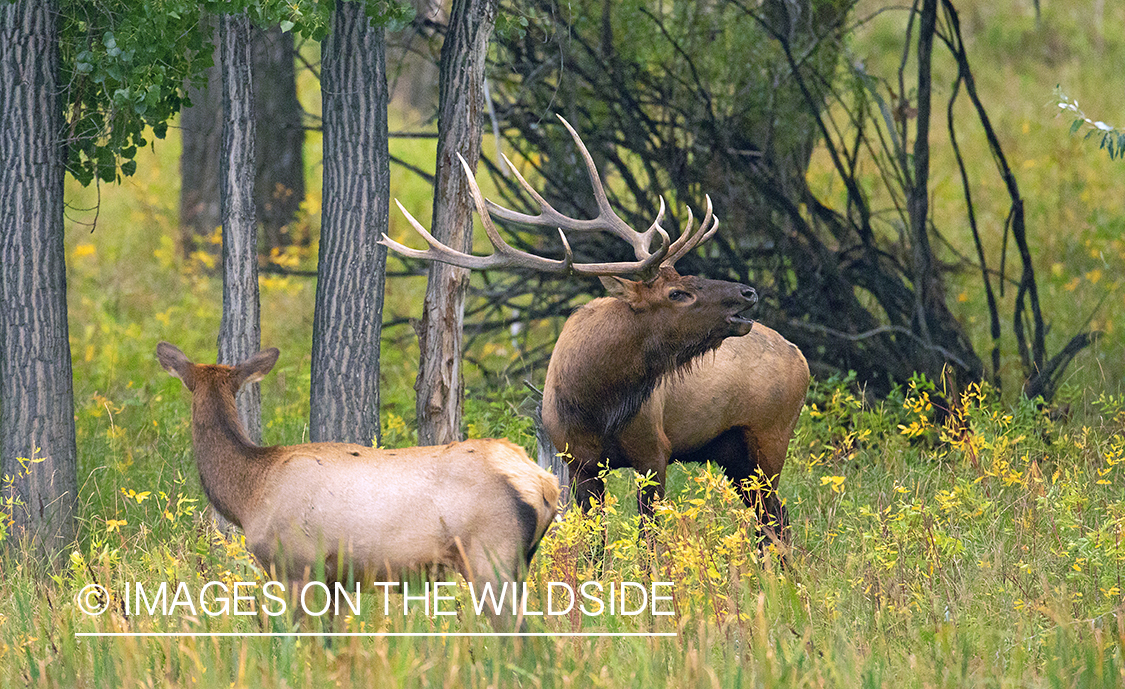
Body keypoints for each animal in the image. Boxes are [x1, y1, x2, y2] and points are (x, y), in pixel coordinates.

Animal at [156, 342, 560, 621]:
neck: (249, 493)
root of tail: (545, 486)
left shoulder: (295, 565)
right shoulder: (336, 580)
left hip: (490, 555)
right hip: (517, 560)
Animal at [380, 115, 810, 540]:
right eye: (677, 292)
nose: (748, 292)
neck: (595, 402)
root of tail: (801, 358)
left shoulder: (655, 452)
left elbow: (648, 540)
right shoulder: (579, 462)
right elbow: (596, 543)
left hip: (770, 438)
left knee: (778, 521)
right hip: (735, 454)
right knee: (773, 520)